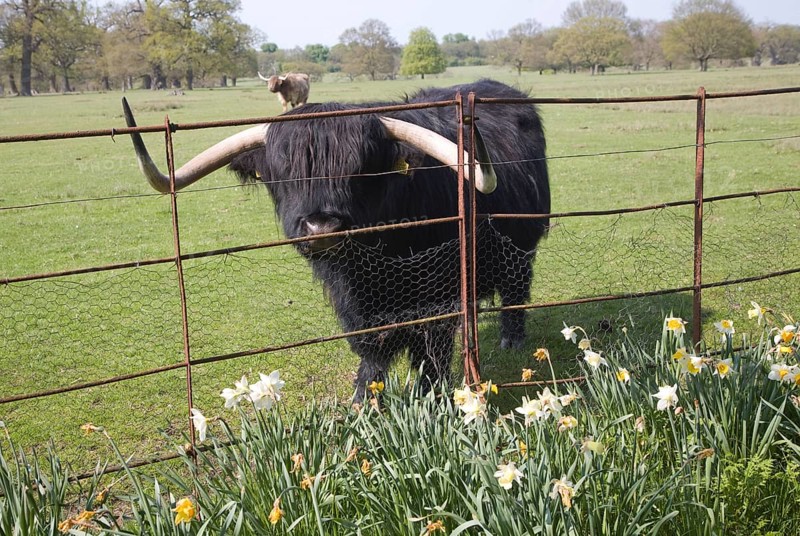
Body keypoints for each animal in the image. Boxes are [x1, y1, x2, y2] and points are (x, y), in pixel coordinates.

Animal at [122, 79, 550, 401]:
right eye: (283, 171)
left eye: (362, 169)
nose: (321, 227)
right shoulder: (352, 300)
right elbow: (371, 350)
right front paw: (364, 400)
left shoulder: (438, 291)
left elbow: (431, 349)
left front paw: (430, 398)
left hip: (522, 246)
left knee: (517, 287)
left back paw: (511, 338)